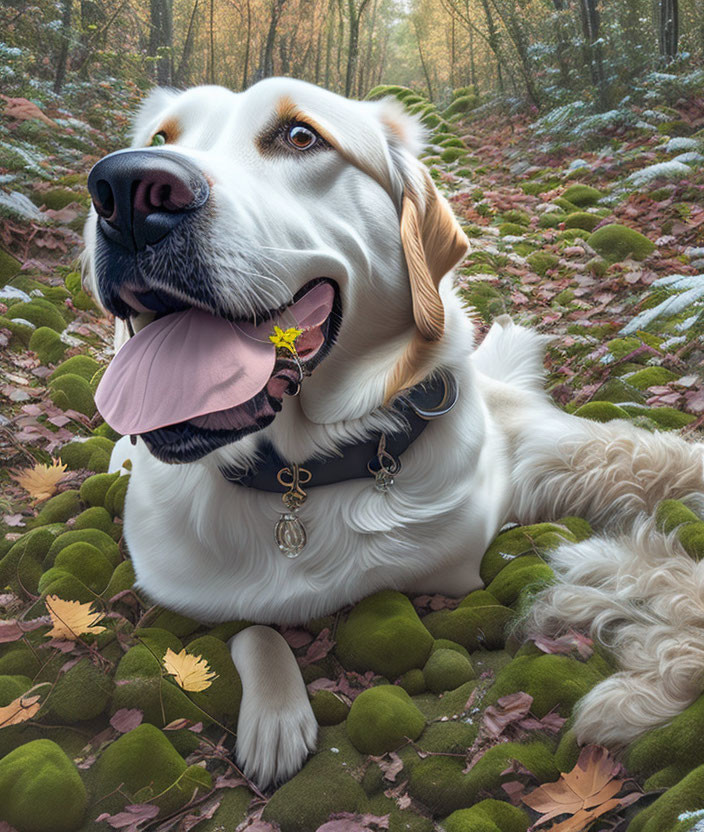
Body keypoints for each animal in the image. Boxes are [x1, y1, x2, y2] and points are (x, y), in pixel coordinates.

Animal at [82, 78, 704, 788]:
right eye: (159, 138)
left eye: (301, 136)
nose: (125, 188)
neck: (302, 475)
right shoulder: (178, 605)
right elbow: (253, 630)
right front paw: (275, 719)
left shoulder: (461, 568)